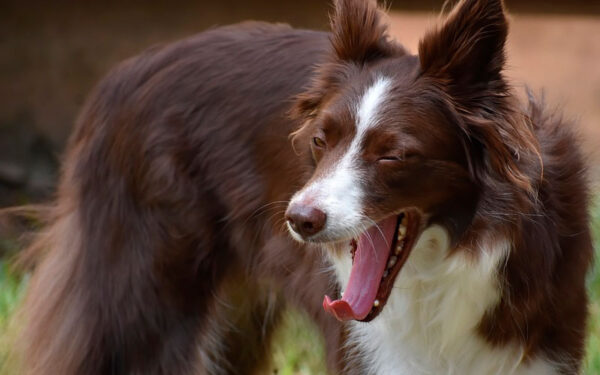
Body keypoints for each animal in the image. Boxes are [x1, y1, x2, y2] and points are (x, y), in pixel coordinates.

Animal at [16, 0, 592, 374]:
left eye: (394, 155)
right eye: (320, 141)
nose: (298, 221)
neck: (450, 260)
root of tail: (122, 76)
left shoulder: (539, 337)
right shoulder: (370, 350)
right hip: (144, 274)